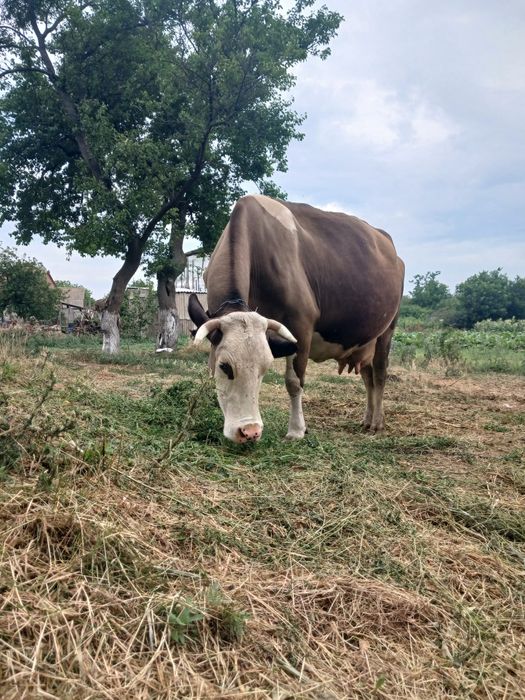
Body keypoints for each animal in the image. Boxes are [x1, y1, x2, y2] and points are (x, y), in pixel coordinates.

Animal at [188, 195, 405, 444]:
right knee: (368, 377)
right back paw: (367, 419)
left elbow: (294, 382)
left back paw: (377, 422)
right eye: (224, 366)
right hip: (365, 340)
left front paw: (297, 429)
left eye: (265, 367)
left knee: (379, 375)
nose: (250, 431)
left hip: (387, 331)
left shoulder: (300, 325)